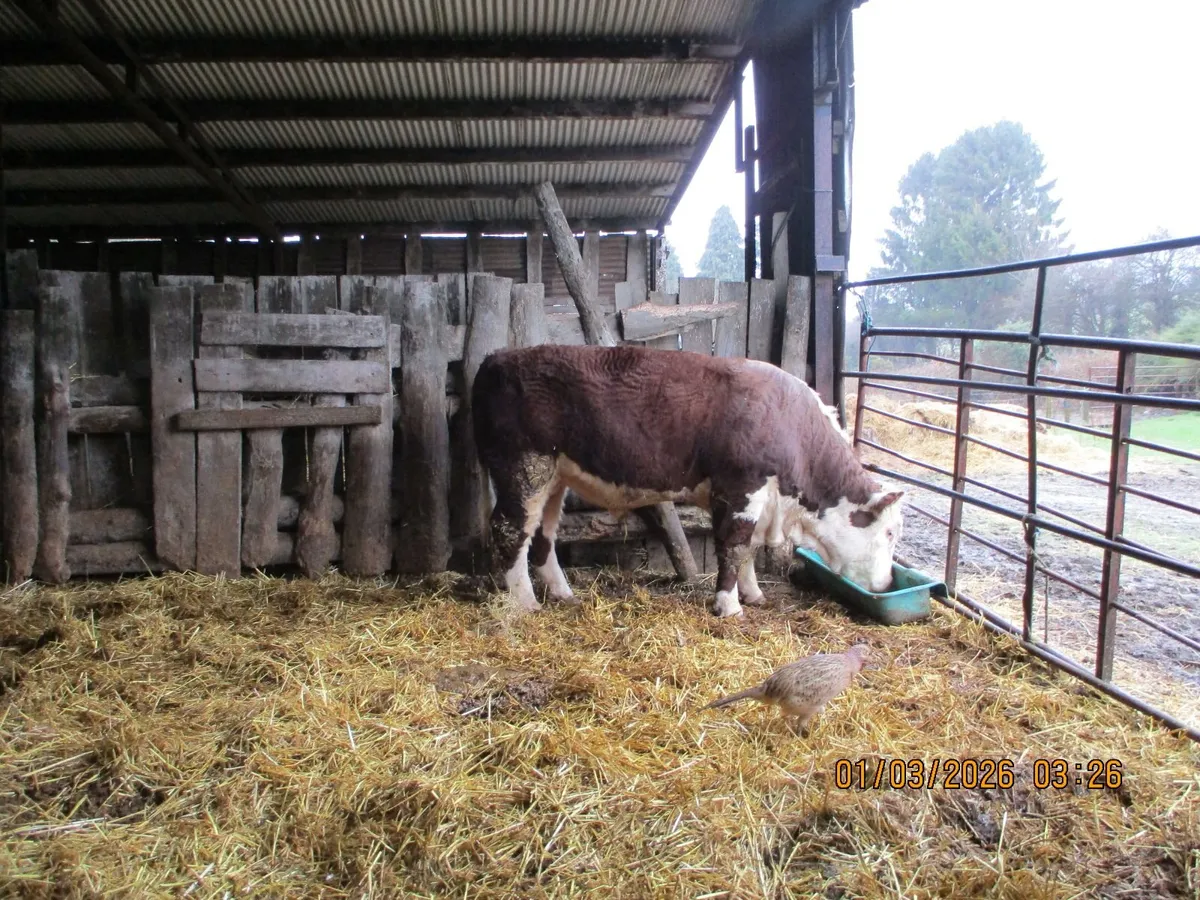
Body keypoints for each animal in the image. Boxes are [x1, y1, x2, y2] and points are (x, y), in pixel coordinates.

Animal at [471, 343, 904, 617]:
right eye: (888, 534)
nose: (885, 585)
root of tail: (496, 357)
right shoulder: (739, 489)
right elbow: (733, 548)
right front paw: (729, 606)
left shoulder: (759, 498)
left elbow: (747, 551)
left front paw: (754, 594)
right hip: (524, 469)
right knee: (510, 529)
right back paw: (525, 603)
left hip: (554, 477)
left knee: (542, 534)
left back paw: (562, 593)